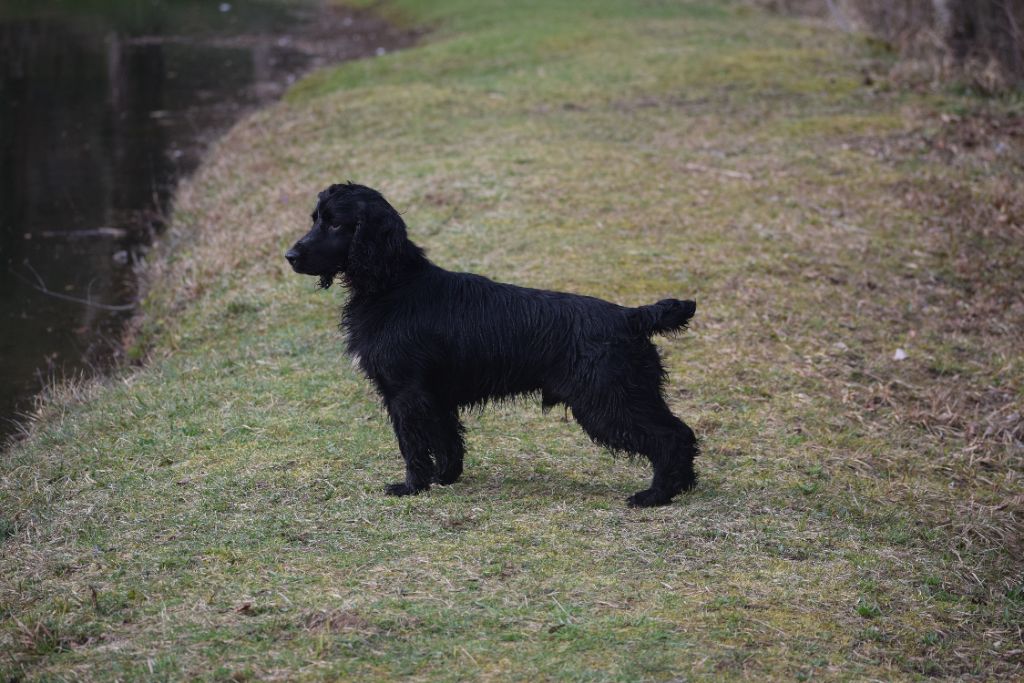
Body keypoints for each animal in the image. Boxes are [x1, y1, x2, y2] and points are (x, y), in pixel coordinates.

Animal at [284, 183, 700, 507]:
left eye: (335, 223)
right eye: (315, 218)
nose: (289, 256)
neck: (395, 284)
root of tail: (630, 316)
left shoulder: (404, 393)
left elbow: (413, 445)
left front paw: (412, 486)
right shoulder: (434, 396)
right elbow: (447, 440)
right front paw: (445, 478)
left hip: (608, 401)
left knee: (671, 437)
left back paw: (656, 495)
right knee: (681, 433)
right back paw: (679, 488)